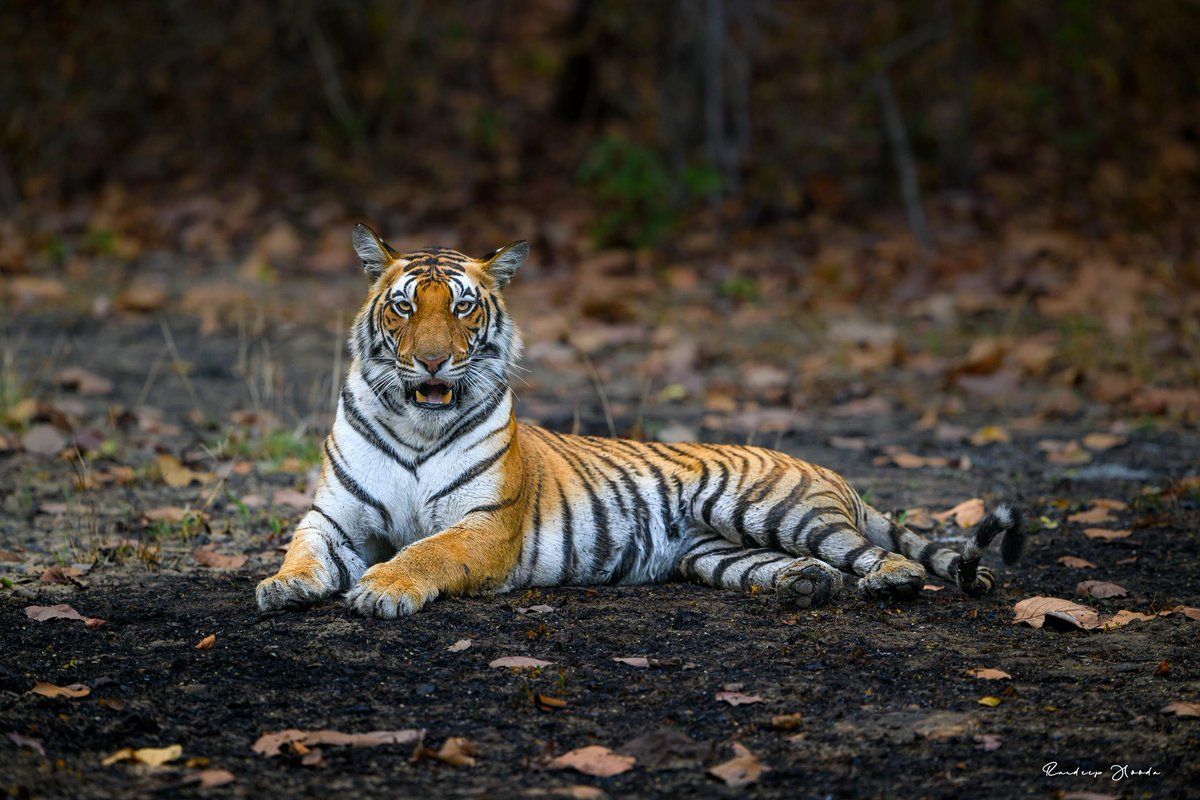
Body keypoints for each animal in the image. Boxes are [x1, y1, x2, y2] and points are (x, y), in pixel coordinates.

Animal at [256, 225, 1023, 618]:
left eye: (465, 307)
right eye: (405, 307)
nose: (435, 362)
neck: (417, 426)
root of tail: (828, 469)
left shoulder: (486, 526)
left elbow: (427, 551)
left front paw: (381, 589)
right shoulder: (334, 517)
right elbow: (303, 549)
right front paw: (283, 585)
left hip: (773, 509)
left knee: (876, 553)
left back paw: (887, 581)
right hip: (716, 551)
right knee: (805, 566)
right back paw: (805, 585)